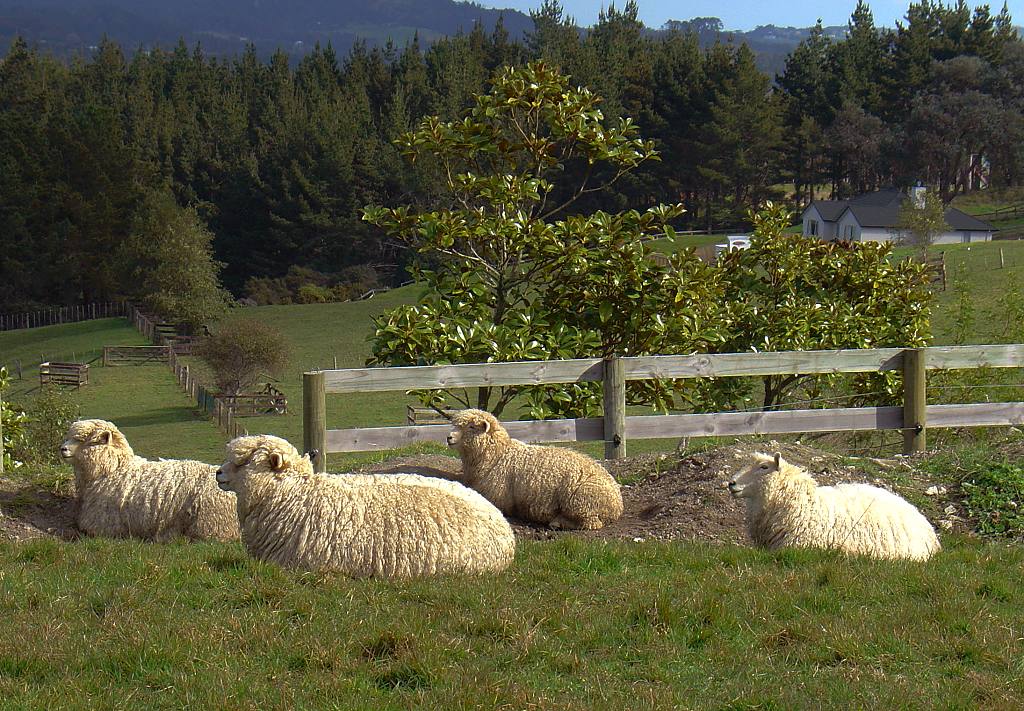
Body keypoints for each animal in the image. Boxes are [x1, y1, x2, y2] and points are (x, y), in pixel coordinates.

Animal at [442, 409, 618, 532]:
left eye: (471, 427)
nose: (448, 437)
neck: (498, 455)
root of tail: (617, 505)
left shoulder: (498, 497)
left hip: (582, 502)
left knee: (591, 524)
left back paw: (557, 522)